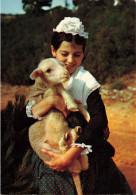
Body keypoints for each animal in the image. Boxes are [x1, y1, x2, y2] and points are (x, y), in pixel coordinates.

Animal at [27, 58, 90, 195]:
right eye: (48, 70)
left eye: (61, 64)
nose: (66, 73)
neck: (45, 85)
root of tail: (74, 170)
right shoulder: (45, 95)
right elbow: (59, 91)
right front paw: (71, 104)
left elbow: (75, 100)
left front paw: (83, 113)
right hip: (48, 151)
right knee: (63, 150)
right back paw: (64, 141)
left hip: (83, 158)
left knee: (80, 160)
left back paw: (74, 134)